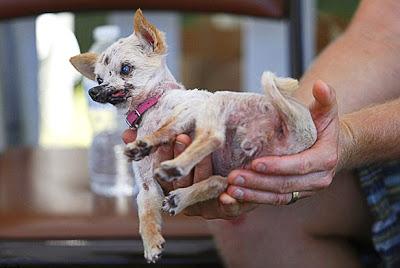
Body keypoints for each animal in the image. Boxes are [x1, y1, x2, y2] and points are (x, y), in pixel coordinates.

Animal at [70, 8, 318, 264]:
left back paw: (174, 165)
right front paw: (151, 243)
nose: (93, 91)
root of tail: (302, 128)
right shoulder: (147, 186)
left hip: (217, 103)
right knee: (218, 181)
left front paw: (148, 141)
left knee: (213, 137)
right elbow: (145, 214)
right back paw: (180, 196)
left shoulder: (189, 110)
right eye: (99, 79)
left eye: (126, 69)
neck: (152, 105)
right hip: (244, 174)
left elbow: (166, 128)